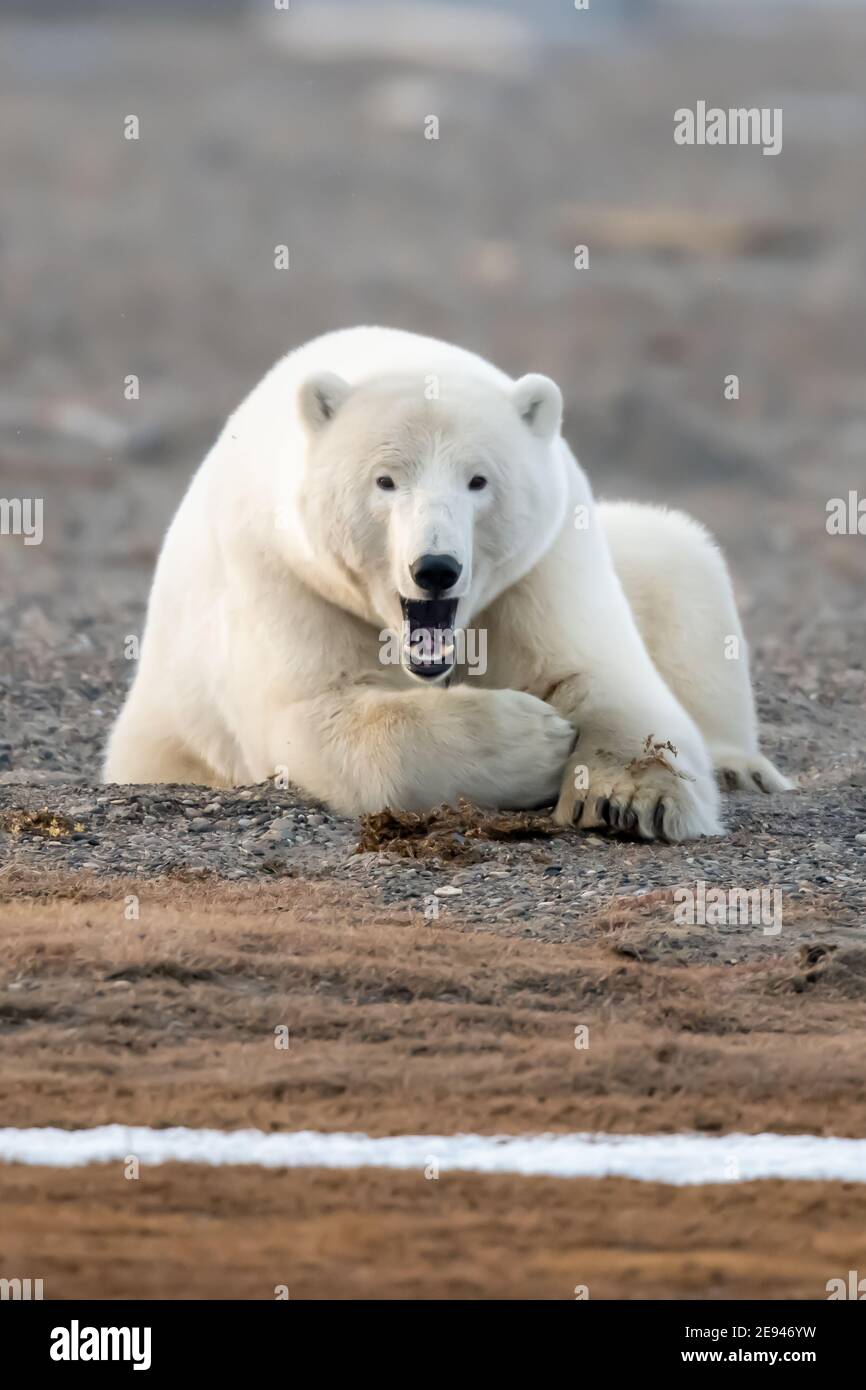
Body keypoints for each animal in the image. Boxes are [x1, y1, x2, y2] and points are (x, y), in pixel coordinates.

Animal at [103, 325, 792, 840]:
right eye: (385, 480)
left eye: (478, 480)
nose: (435, 568)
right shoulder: (281, 571)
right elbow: (318, 713)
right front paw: (539, 739)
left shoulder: (540, 567)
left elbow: (602, 674)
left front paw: (631, 798)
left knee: (680, 563)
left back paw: (740, 767)